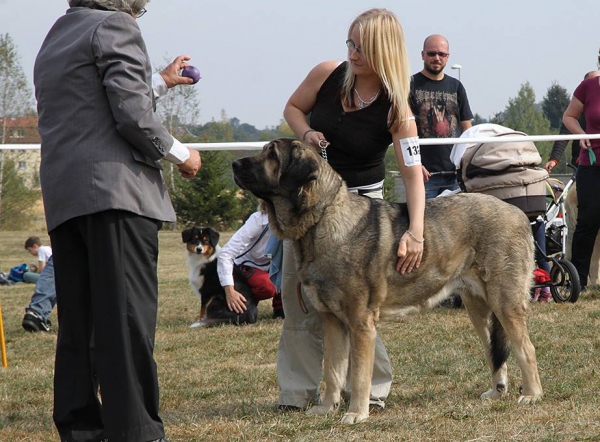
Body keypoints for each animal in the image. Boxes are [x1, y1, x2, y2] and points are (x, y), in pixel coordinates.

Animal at [232, 140, 540, 424]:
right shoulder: (332, 321)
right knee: (494, 349)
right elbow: (332, 371)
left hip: (505, 302)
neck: (321, 220)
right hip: (477, 307)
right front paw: (326, 408)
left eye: (272, 155)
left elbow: (358, 375)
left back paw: (531, 394)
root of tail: (518, 214)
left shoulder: (360, 324)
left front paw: (356, 413)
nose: (234, 163)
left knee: (526, 348)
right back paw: (497, 392)